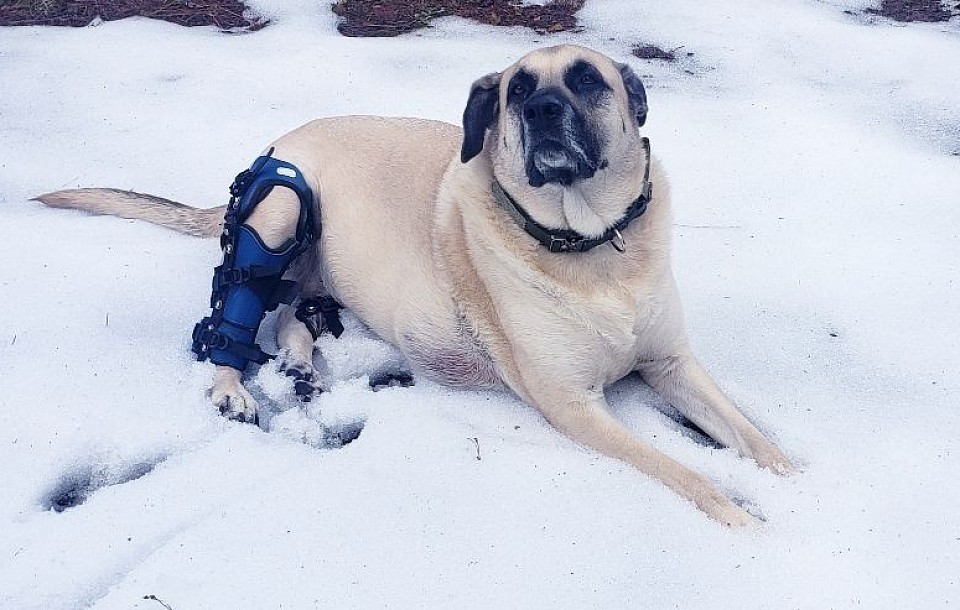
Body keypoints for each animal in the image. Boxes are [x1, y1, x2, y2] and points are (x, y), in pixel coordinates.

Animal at [35, 45, 796, 524]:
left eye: (586, 81)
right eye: (519, 90)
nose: (541, 111)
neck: (595, 247)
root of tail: (286, 137)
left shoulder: (672, 364)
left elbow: (754, 440)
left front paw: (796, 487)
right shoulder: (575, 407)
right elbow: (688, 475)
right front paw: (750, 524)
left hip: (319, 268)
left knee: (291, 315)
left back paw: (302, 367)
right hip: (279, 208)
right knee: (237, 316)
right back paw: (233, 388)